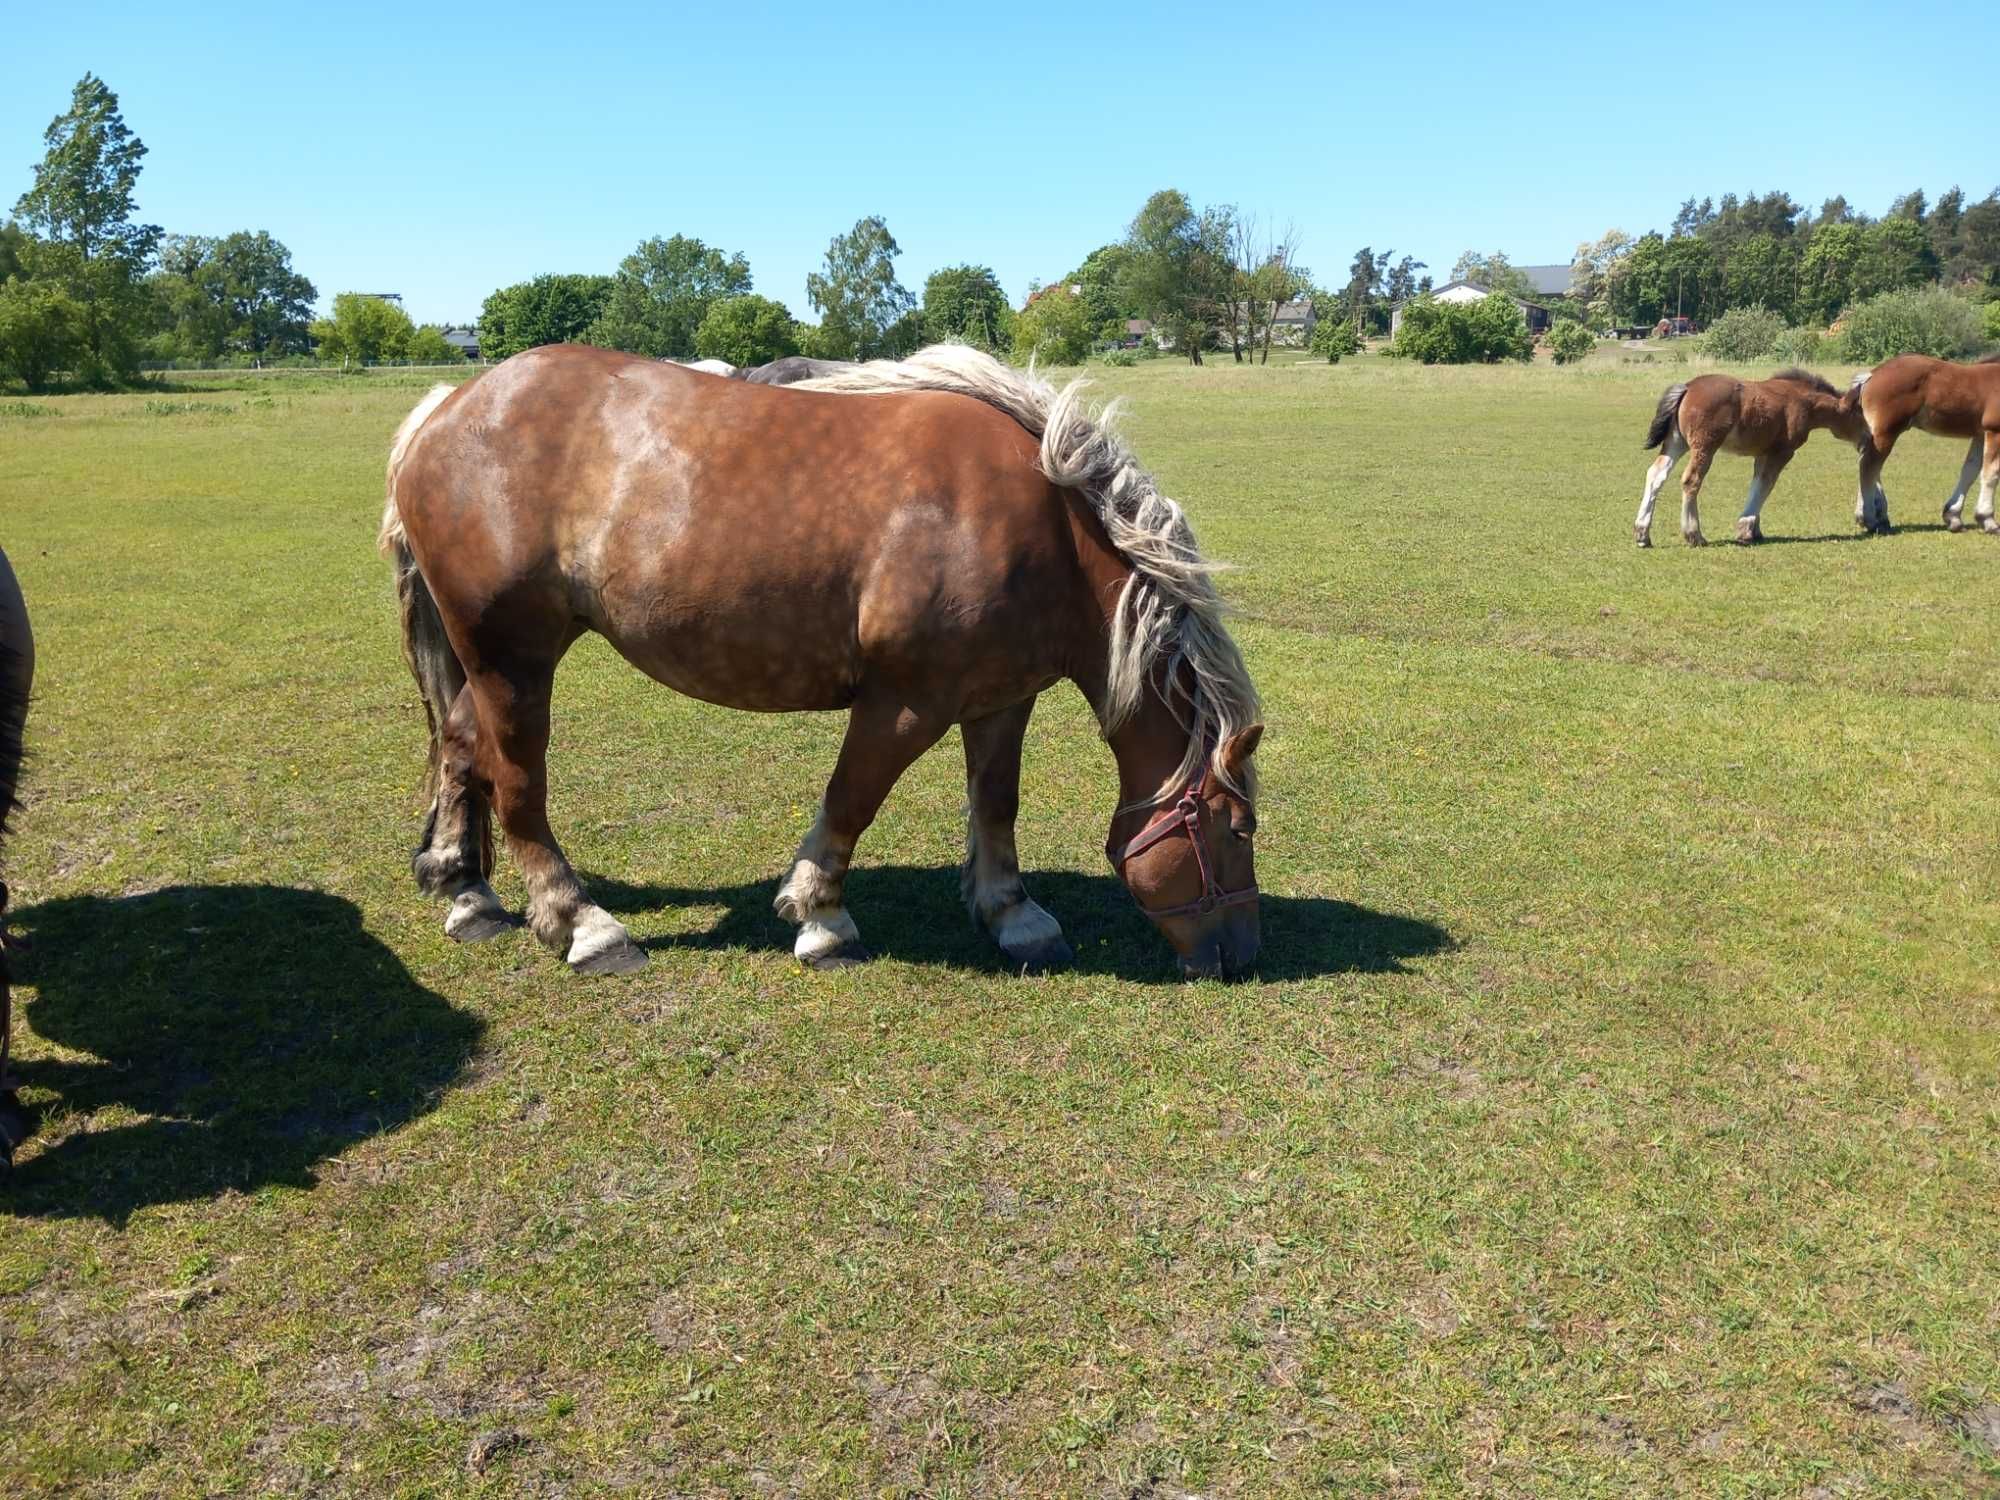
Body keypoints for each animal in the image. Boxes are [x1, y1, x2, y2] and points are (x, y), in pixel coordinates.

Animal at [378, 350, 1264, 988]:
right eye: (1235, 830)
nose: (1239, 956)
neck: (1045, 523)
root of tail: (447, 406)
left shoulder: (1000, 699)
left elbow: (995, 804)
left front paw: (1014, 914)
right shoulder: (905, 702)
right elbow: (851, 800)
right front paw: (821, 917)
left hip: (494, 661)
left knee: (461, 750)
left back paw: (468, 891)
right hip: (513, 661)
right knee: (518, 782)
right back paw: (580, 923)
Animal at [1632, 368, 1864, 548]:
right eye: (1859, 414)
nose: (1866, 438)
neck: (1802, 400)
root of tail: (1688, 387)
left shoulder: (1763, 453)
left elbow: (1758, 484)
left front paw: (1755, 530)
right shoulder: (1782, 452)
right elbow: (1765, 485)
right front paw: (1746, 530)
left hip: (1676, 442)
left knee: (1656, 475)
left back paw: (1642, 534)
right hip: (1705, 446)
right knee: (1691, 480)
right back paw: (1694, 535)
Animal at [1840, 356, 2000, 536]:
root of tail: (1872, 374)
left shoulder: (1980, 434)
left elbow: (1969, 471)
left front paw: (1953, 517)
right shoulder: (1995, 430)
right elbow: (1991, 474)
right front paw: (1988, 520)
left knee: (1869, 465)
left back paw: (1880, 518)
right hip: (1886, 432)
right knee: (1868, 467)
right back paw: (1870, 519)